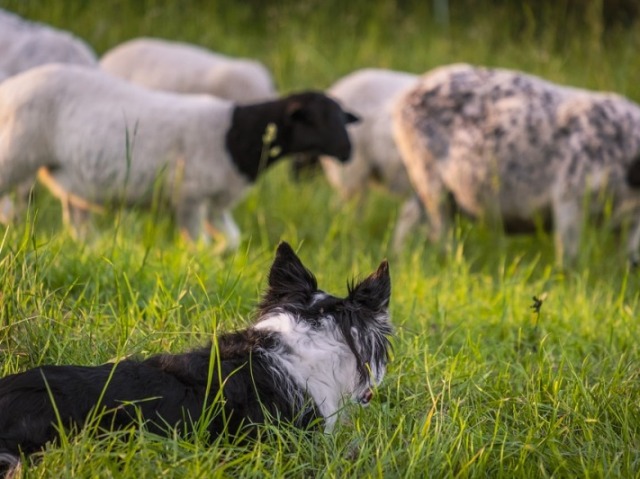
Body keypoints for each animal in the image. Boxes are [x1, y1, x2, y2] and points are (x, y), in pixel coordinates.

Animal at [0, 64, 360, 251]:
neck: (236, 137)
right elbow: (197, 244)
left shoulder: (216, 202)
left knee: (76, 222)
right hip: (14, 153)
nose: (347, 152)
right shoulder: (190, 198)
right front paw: (203, 262)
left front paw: (220, 256)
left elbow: (232, 240)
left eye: (342, 118)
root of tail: (12, 86)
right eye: (314, 120)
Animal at [392, 62, 640, 266]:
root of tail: (407, 94)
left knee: (409, 215)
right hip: (428, 176)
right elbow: (569, 255)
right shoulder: (570, 196)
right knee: (439, 229)